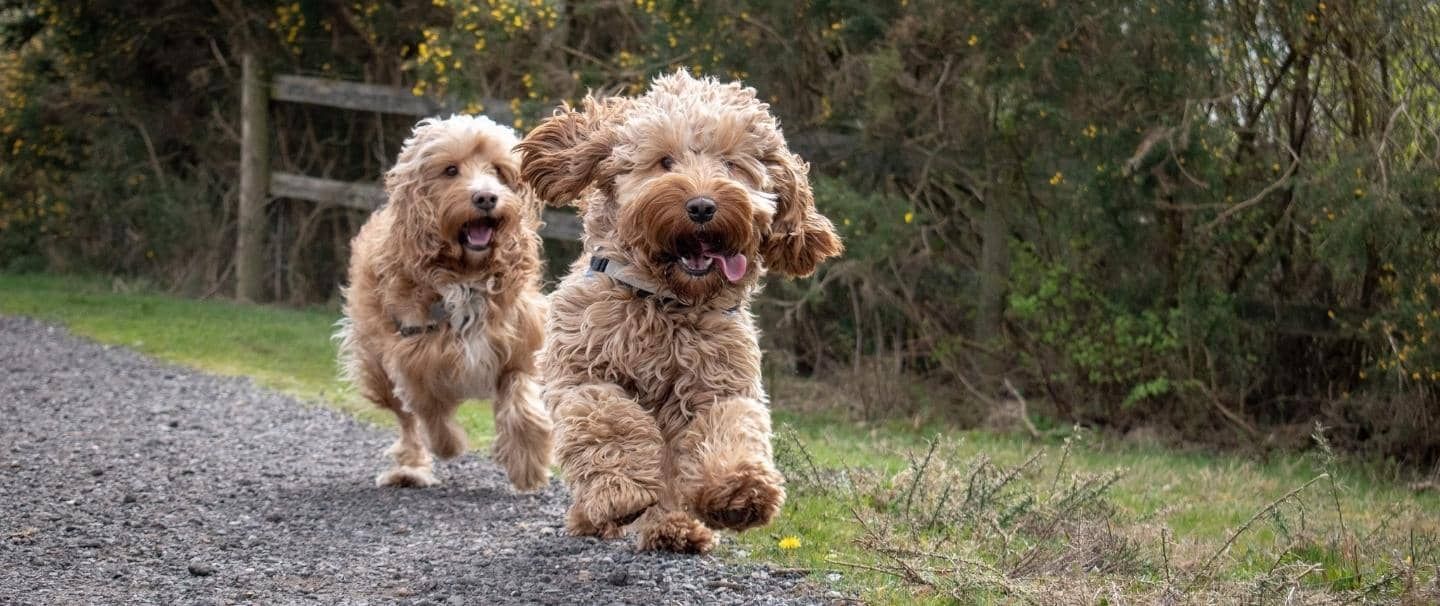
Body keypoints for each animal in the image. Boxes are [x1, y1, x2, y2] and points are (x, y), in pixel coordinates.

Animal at [335, 114, 550, 492]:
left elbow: (522, 403)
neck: (467, 276)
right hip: (376, 365)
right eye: (451, 170)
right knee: (406, 420)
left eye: (498, 170)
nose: (486, 197)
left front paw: (528, 464)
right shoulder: (412, 357)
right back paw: (410, 468)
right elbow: (429, 411)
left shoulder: (519, 344)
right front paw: (449, 444)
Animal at [518, 70, 840, 552]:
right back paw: (595, 516)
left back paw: (674, 527)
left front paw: (740, 490)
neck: (665, 302)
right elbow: (610, 420)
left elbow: (729, 425)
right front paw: (622, 490)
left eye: (731, 163)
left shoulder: (719, 383)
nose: (703, 206)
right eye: (665, 161)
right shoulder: (583, 372)